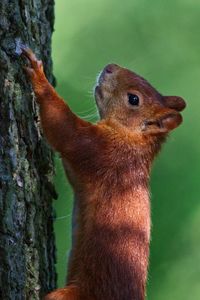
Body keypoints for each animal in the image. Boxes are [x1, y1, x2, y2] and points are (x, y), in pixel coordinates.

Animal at [21, 48, 185, 298]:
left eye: (134, 99)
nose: (110, 67)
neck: (132, 140)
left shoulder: (100, 151)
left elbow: (64, 129)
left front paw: (39, 77)